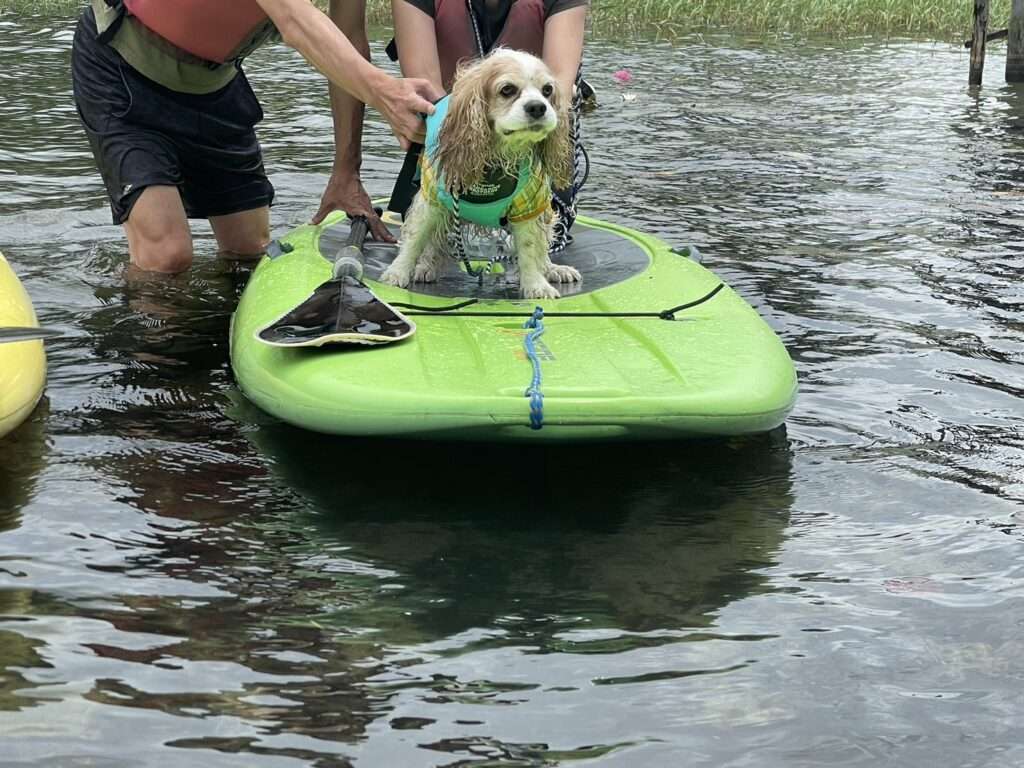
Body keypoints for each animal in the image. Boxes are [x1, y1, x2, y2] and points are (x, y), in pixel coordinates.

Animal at [380, 48, 581, 301]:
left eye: (547, 90)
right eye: (507, 90)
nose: (538, 107)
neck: (498, 155)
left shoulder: (530, 205)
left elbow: (529, 246)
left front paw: (536, 284)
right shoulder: (432, 199)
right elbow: (415, 239)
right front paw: (397, 272)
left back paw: (552, 269)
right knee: (433, 241)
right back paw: (425, 266)